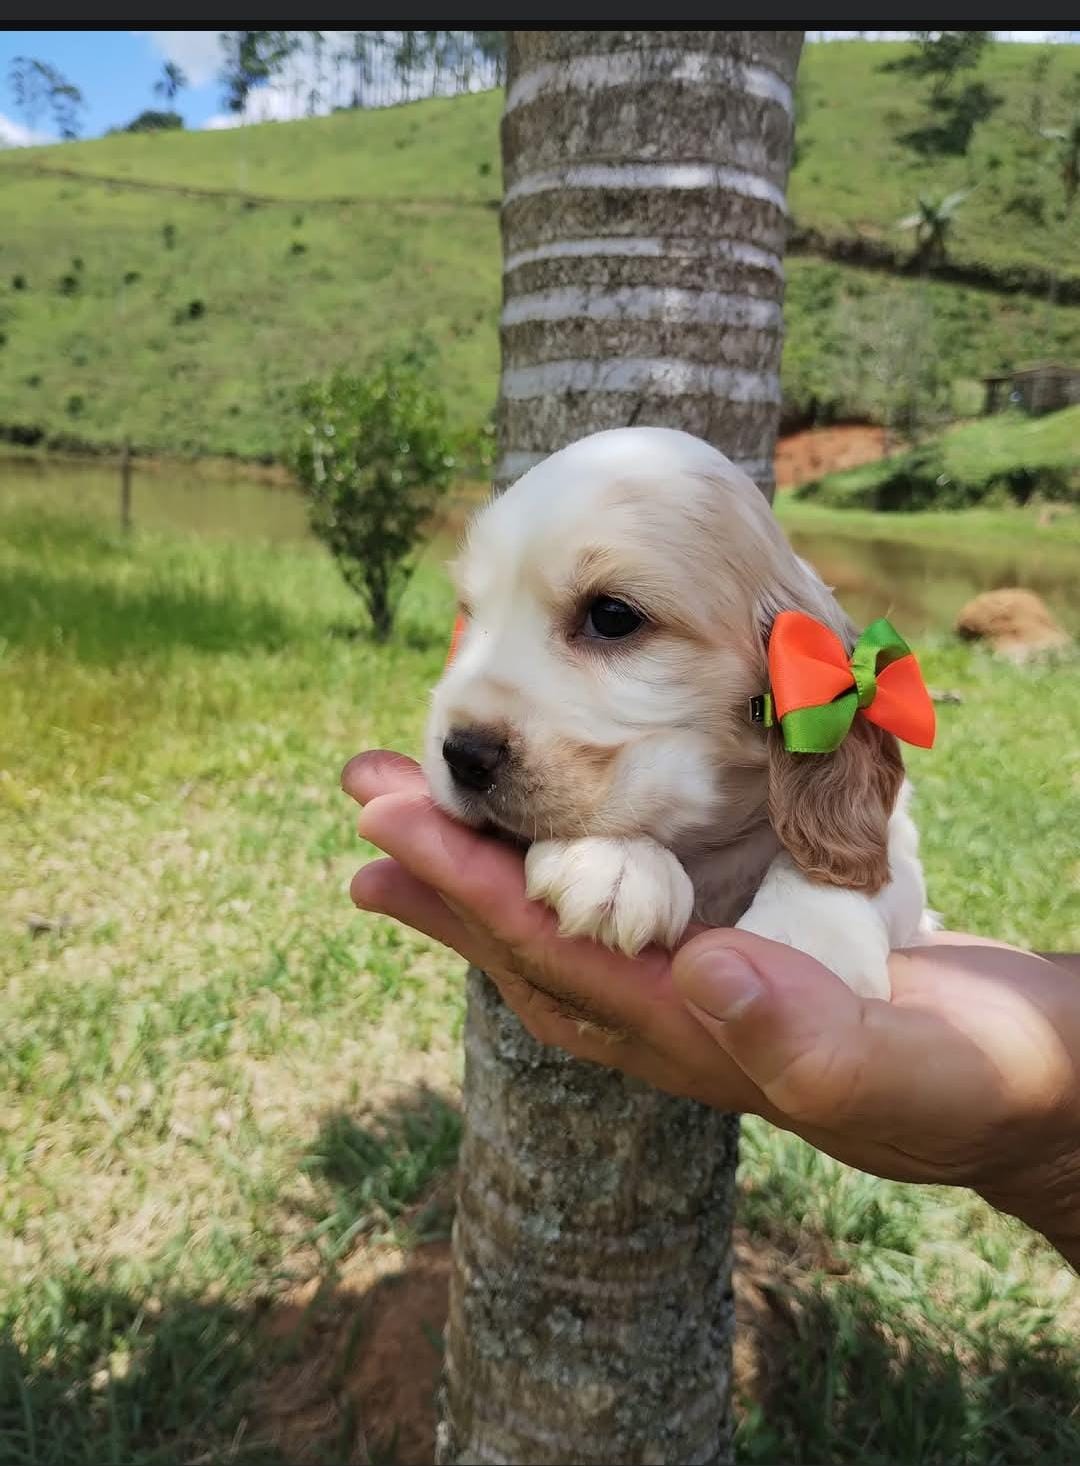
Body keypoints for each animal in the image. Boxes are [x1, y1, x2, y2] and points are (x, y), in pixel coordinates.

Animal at [422, 425, 937, 996]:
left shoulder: (903, 863)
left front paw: (813, 940)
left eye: (612, 615)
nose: (462, 754)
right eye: (471, 615)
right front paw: (614, 859)